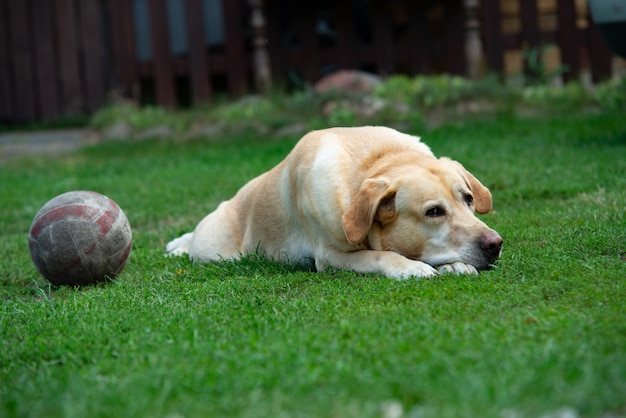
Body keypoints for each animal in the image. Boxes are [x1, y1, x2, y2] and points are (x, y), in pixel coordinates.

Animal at [166, 125, 502, 280]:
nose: (495, 244)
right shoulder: (330, 256)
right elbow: (380, 256)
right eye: (433, 212)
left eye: (468, 199)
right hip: (214, 250)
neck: (373, 162)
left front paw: (455, 264)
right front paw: (411, 267)